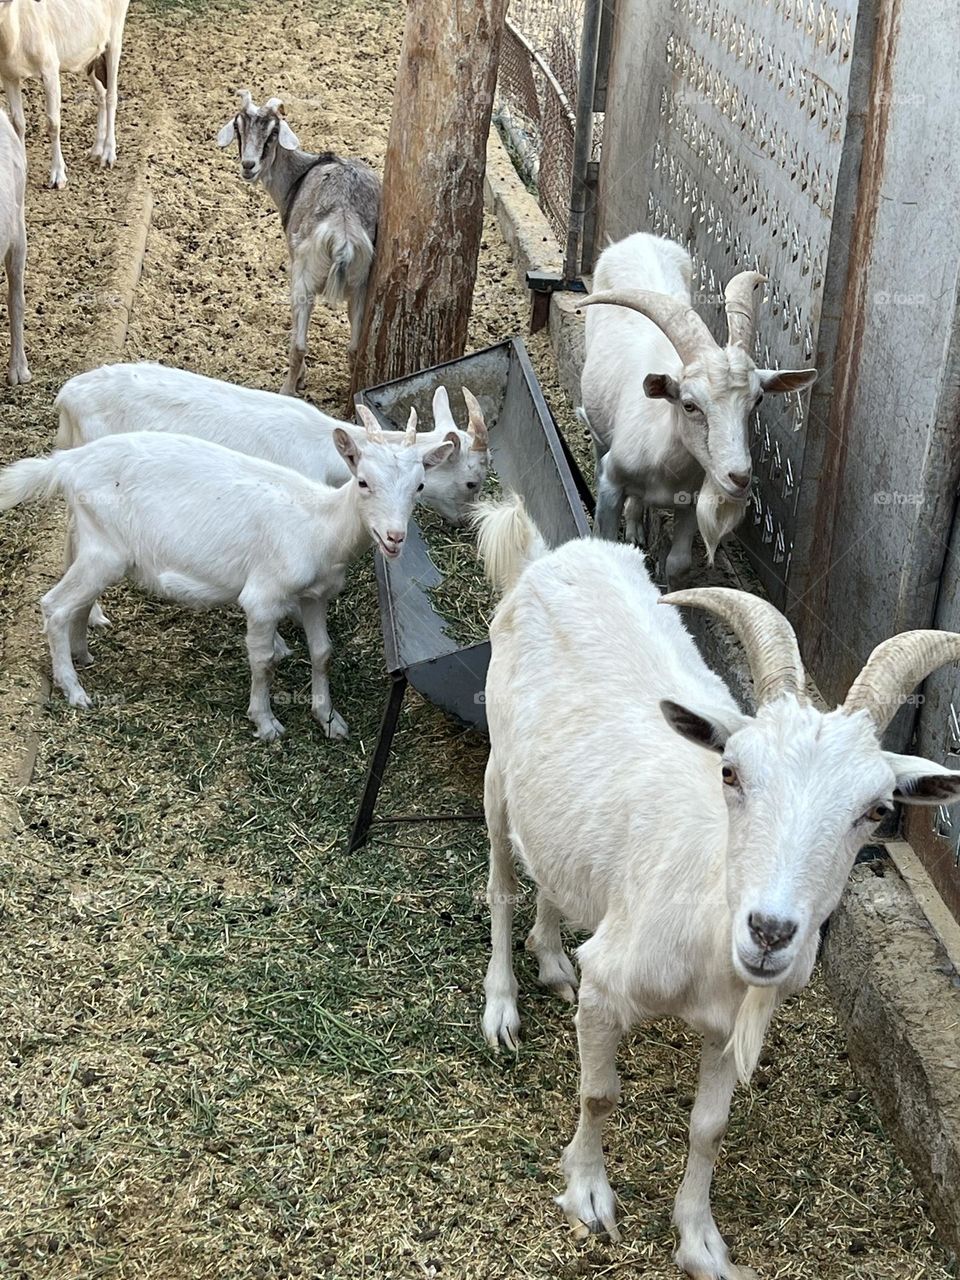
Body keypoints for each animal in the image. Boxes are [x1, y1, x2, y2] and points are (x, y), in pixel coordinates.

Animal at [0, 0, 130, 189]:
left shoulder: (50, 67)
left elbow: (53, 123)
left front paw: (58, 176)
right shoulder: (8, 75)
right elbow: (18, 122)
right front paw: (22, 168)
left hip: (114, 37)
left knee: (111, 96)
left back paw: (108, 155)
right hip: (90, 55)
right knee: (101, 93)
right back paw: (96, 151)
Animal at [0, 424, 452, 741]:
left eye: (419, 486)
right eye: (362, 481)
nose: (394, 537)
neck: (317, 525)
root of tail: (69, 462)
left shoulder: (315, 596)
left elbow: (323, 652)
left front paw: (329, 720)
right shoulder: (264, 596)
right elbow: (262, 660)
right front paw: (266, 723)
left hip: (95, 544)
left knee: (75, 601)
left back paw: (82, 655)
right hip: (105, 549)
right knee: (55, 605)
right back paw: (75, 690)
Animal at [216, 91, 380, 396]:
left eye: (273, 132)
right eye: (238, 127)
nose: (248, 166)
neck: (299, 175)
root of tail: (342, 229)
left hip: (304, 277)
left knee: (299, 344)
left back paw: (287, 390)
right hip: (361, 283)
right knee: (354, 348)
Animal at [474, 494, 960, 1279]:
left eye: (876, 810)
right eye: (730, 770)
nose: (769, 933)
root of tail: (550, 555)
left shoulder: (730, 1023)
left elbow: (709, 1127)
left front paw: (700, 1242)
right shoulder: (613, 983)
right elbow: (599, 1092)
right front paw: (587, 1194)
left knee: (551, 872)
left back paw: (551, 960)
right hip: (497, 769)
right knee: (500, 882)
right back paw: (502, 1006)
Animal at [579, 233, 818, 584]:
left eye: (757, 400)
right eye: (689, 405)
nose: (739, 477)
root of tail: (639, 238)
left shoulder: (690, 498)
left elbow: (679, 563)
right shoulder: (613, 481)